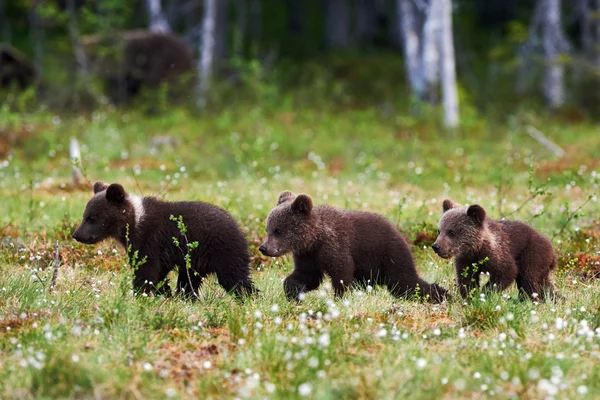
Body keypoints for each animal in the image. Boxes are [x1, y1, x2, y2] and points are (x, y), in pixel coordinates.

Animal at [72, 183, 255, 298]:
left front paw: (140, 294)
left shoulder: (149, 240)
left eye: (92, 217)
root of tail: (240, 228)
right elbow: (159, 273)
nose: (76, 234)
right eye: (84, 215)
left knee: (235, 277)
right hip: (194, 261)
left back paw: (248, 297)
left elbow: (146, 270)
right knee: (189, 281)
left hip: (222, 250)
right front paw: (164, 293)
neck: (133, 222)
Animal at [260, 192, 448, 302]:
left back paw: (442, 294)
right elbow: (307, 276)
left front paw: (340, 298)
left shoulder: (335, 246)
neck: (314, 239)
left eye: (278, 230)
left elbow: (342, 272)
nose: (263, 248)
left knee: (405, 283)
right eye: (268, 228)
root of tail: (401, 235)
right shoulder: (307, 255)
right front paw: (293, 293)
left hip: (389, 257)